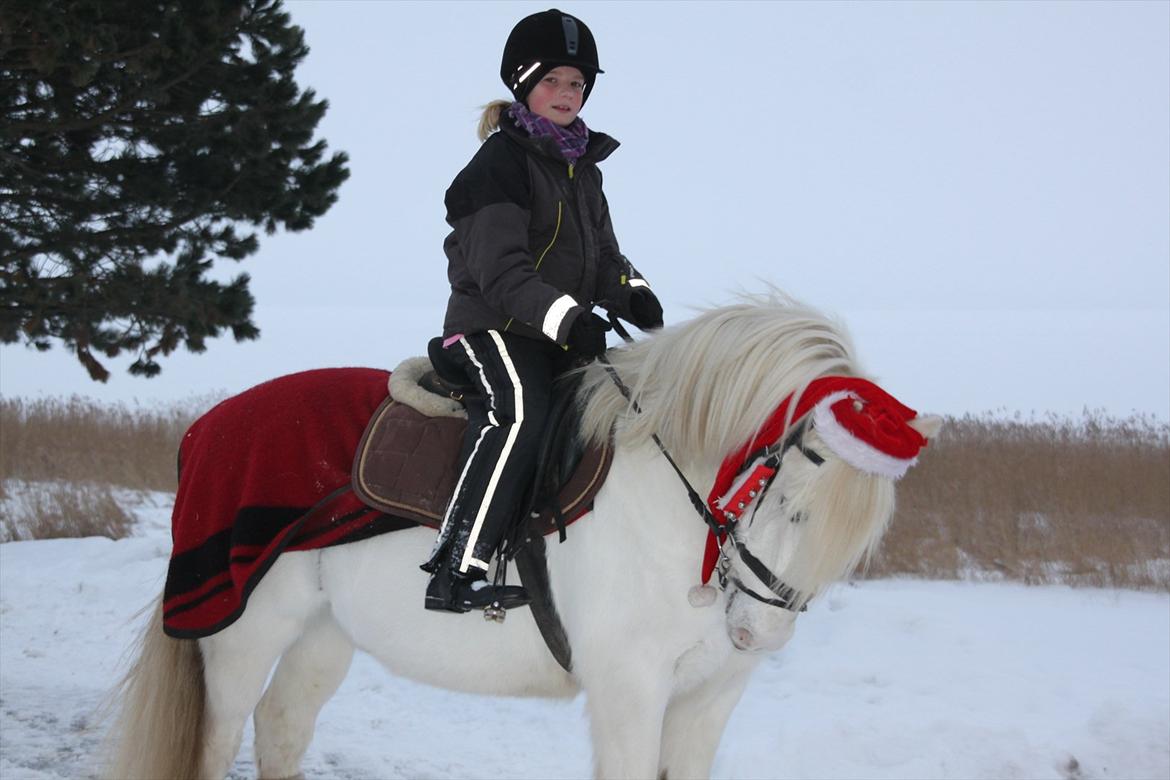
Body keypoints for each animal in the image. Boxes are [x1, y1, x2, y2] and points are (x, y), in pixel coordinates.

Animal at [102, 292, 940, 780]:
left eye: (853, 542)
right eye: (793, 497)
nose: (755, 635)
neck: (669, 511)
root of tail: (207, 427)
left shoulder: (709, 697)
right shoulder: (630, 690)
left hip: (324, 633)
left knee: (281, 730)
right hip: (243, 635)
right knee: (219, 745)